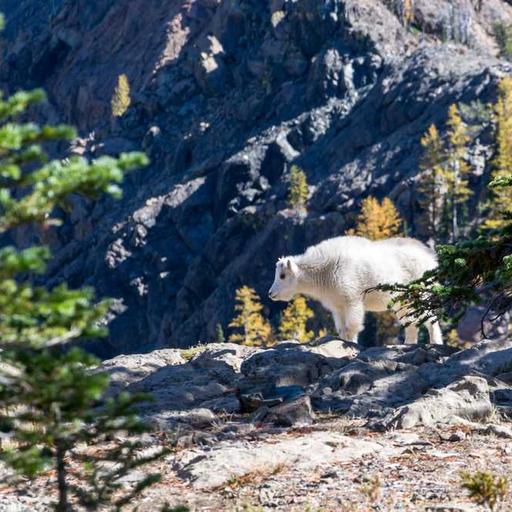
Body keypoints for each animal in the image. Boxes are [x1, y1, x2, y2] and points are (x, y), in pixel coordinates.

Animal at [270, 236, 442, 344]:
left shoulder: (352, 297)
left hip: (421, 291)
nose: (271, 293)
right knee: (410, 321)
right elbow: (341, 328)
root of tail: (431, 258)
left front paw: (352, 343)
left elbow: (352, 326)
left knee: (430, 318)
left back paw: (435, 342)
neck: (324, 270)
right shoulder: (338, 305)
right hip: (402, 300)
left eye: (282, 275)